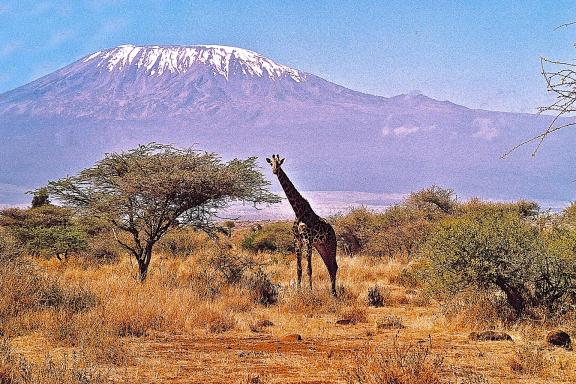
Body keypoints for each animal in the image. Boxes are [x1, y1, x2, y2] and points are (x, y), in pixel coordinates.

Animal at [266, 154, 338, 296]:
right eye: (271, 163)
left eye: (279, 163)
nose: (275, 171)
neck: (298, 211)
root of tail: (333, 231)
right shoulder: (297, 240)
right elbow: (299, 269)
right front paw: (298, 290)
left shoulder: (308, 240)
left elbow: (309, 268)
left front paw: (310, 291)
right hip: (321, 246)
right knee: (329, 266)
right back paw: (332, 293)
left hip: (331, 245)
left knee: (334, 266)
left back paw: (334, 293)